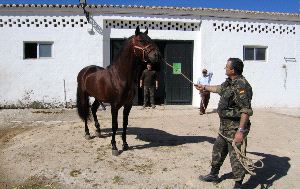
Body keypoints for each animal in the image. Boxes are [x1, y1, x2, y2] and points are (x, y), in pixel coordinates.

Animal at [77, 25, 161, 155]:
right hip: (84, 95)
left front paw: (125, 144)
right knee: (86, 112)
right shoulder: (115, 105)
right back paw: (87, 133)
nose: (157, 55)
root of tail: (85, 70)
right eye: (141, 40)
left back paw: (98, 130)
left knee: (93, 109)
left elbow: (124, 124)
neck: (119, 76)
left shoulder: (128, 104)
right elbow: (115, 125)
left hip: (98, 97)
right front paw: (114, 147)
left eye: (150, 39)